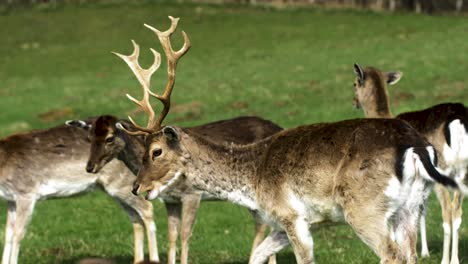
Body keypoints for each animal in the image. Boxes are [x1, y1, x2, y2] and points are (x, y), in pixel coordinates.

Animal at [0, 119, 158, 264]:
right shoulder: (11, 199)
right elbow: (8, 234)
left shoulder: (26, 192)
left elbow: (18, 234)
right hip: (115, 189)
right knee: (135, 218)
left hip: (122, 182)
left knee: (147, 207)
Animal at [68, 114, 282, 264]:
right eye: (89, 137)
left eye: (110, 138)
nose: (90, 167)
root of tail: (280, 126)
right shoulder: (170, 200)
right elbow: (172, 236)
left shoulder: (192, 194)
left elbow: (185, 235)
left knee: (263, 224)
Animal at [352, 63, 468, 264]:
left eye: (354, 84)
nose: (354, 102)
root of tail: (458, 121)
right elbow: (420, 211)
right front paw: (424, 252)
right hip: (462, 172)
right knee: (457, 213)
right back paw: (454, 259)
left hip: (442, 171)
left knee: (448, 213)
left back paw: (445, 260)